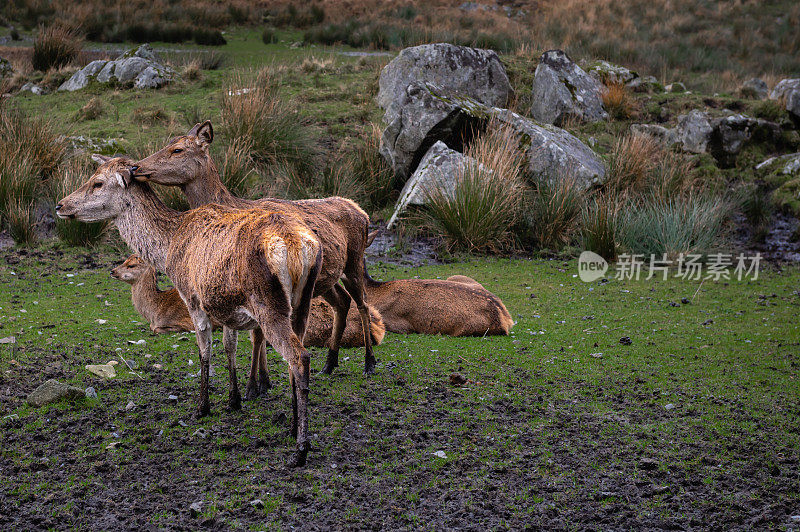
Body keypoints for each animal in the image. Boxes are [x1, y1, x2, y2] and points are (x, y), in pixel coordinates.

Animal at [57, 156, 322, 468]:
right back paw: (292, 426)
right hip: (302, 302)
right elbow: (229, 346)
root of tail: (299, 246)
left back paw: (301, 449)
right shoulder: (223, 304)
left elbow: (204, 349)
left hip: (269, 304)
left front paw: (202, 407)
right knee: (296, 354)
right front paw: (233, 401)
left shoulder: (193, 297)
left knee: (299, 356)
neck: (169, 248)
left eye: (97, 182)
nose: (60, 205)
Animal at [113, 254, 388, 350]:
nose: (112, 271)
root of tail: (379, 329)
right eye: (123, 260)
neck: (155, 309)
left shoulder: (181, 320)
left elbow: (159, 330)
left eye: (132, 263)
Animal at [133, 122, 376, 392]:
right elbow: (256, 333)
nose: (136, 167)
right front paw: (263, 380)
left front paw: (254, 385)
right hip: (323, 279)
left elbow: (257, 334)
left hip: (354, 260)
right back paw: (329, 363)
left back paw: (369, 363)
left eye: (177, 149)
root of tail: (361, 211)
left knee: (363, 303)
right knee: (342, 302)